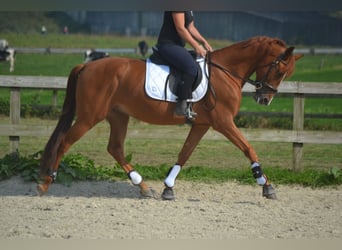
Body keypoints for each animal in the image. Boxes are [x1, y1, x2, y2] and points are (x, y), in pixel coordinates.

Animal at [38, 35, 304, 199]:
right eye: (279, 69)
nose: (264, 99)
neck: (225, 72)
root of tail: (87, 66)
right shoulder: (223, 122)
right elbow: (249, 148)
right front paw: (266, 185)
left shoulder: (202, 124)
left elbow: (184, 153)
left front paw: (168, 188)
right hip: (89, 116)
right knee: (65, 142)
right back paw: (46, 182)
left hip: (118, 116)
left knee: (115, 148)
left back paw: (144, 186)